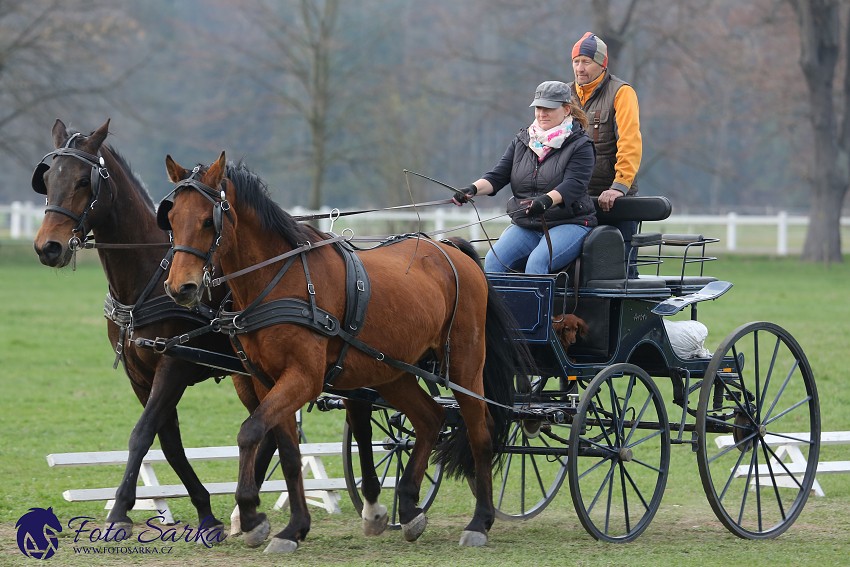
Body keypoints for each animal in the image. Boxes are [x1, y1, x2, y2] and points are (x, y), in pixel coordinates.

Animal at [30, 118, 278, 532]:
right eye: (48, 179)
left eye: (83, 181)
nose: (48, 247)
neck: (147, 277)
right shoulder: (139, 374)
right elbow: (169, 443)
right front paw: (206, 512)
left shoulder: (173, 364)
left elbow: (142, 434)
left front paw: (119, 511)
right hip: (246, 375)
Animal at [157, 153, 524, 552]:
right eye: (171, 219)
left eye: (209, 221)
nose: (180, 287)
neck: (279, 278)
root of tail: (450, 249)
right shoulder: (267, 380)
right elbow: (288, 453)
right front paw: (293, 528)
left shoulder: (304, 378)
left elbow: (250, 432)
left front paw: (252, 516)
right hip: (392, 371)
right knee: (431, 419)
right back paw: (410, 509)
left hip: (464, 364)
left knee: (480, 433)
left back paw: (479, 521)